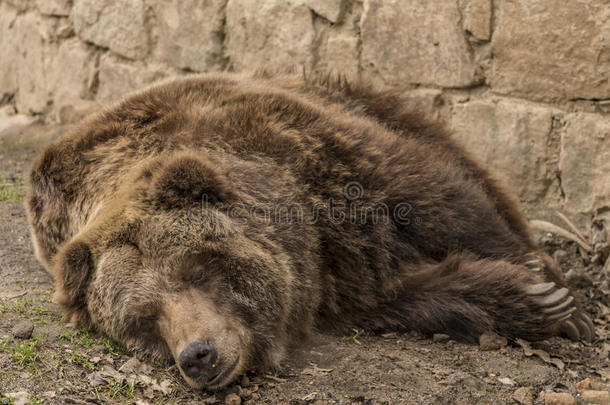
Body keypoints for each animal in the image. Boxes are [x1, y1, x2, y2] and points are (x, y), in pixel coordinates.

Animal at [26, 72, 592, 388]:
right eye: (143, 319)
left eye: (196, 270)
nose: (198, 355)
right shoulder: (333, 278)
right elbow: (400, 297)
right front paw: (529, 297)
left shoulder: (318, 152)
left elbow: (436, 195)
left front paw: (549, 287)